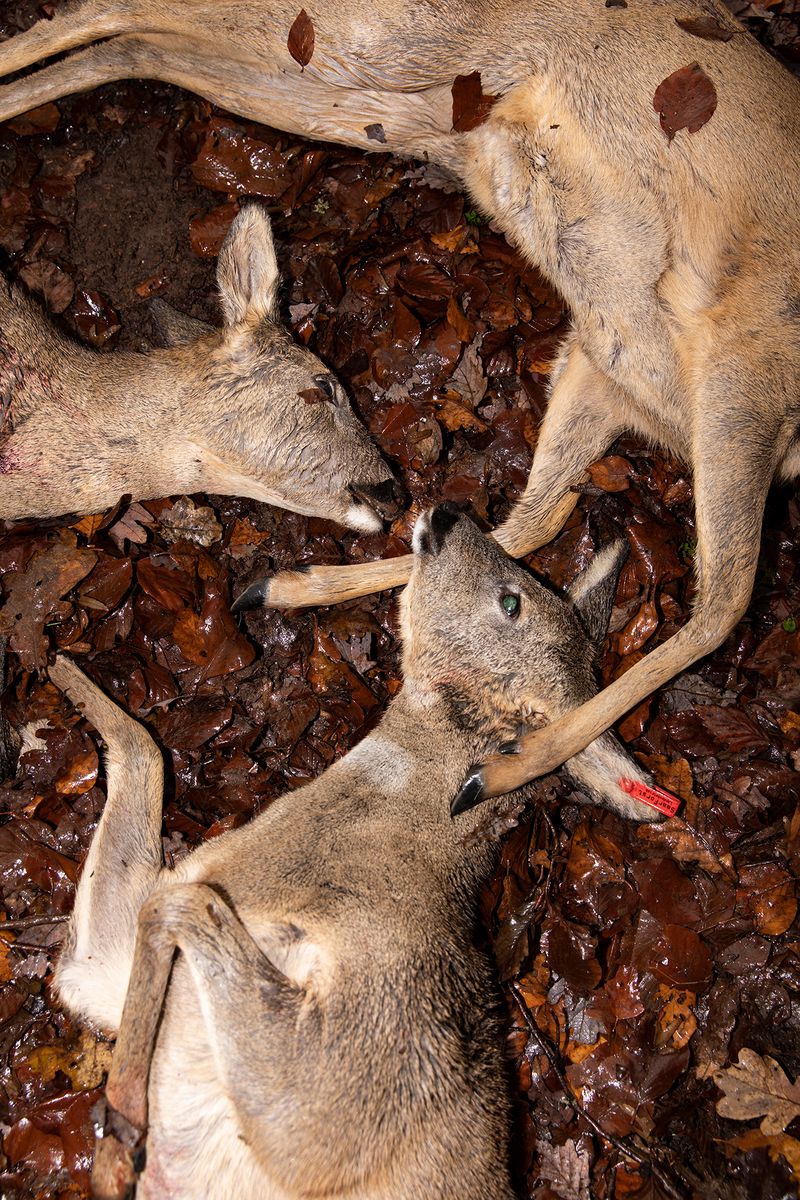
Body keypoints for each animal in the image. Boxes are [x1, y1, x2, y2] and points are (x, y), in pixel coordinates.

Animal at [49, 504, 662, 1200]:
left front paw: (120, 1124)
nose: (446, 513)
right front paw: (56, 660)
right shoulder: (100, 969)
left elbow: (182, 900)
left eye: (512, 601)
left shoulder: (330, 1101)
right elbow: (143, 750)